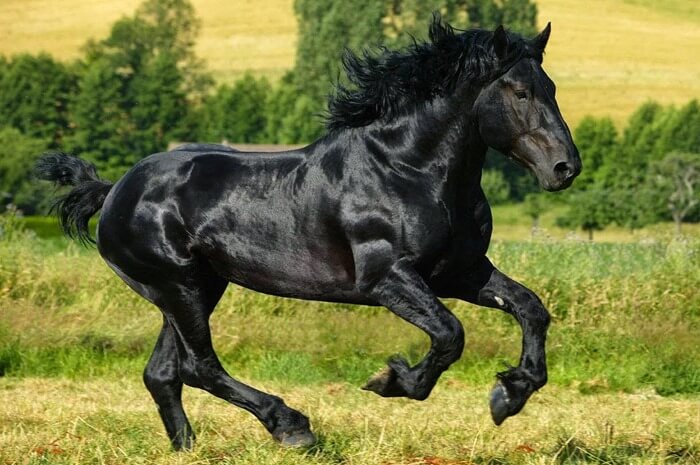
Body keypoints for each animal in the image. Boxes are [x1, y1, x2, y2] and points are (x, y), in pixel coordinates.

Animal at [37, 16, 580, 450]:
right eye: (521, 92)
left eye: (552, 88)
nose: (565, 168)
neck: (407, 169)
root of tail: (113, 191)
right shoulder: (389, 279)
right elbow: (450, 333)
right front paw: (393, 381)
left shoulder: (461, 273)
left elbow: (531, 308)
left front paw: (509, 394)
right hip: (179, 286)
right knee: (197, 367)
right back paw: (292, 425)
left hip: (195, 288)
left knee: (164, 372)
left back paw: (188, 447)